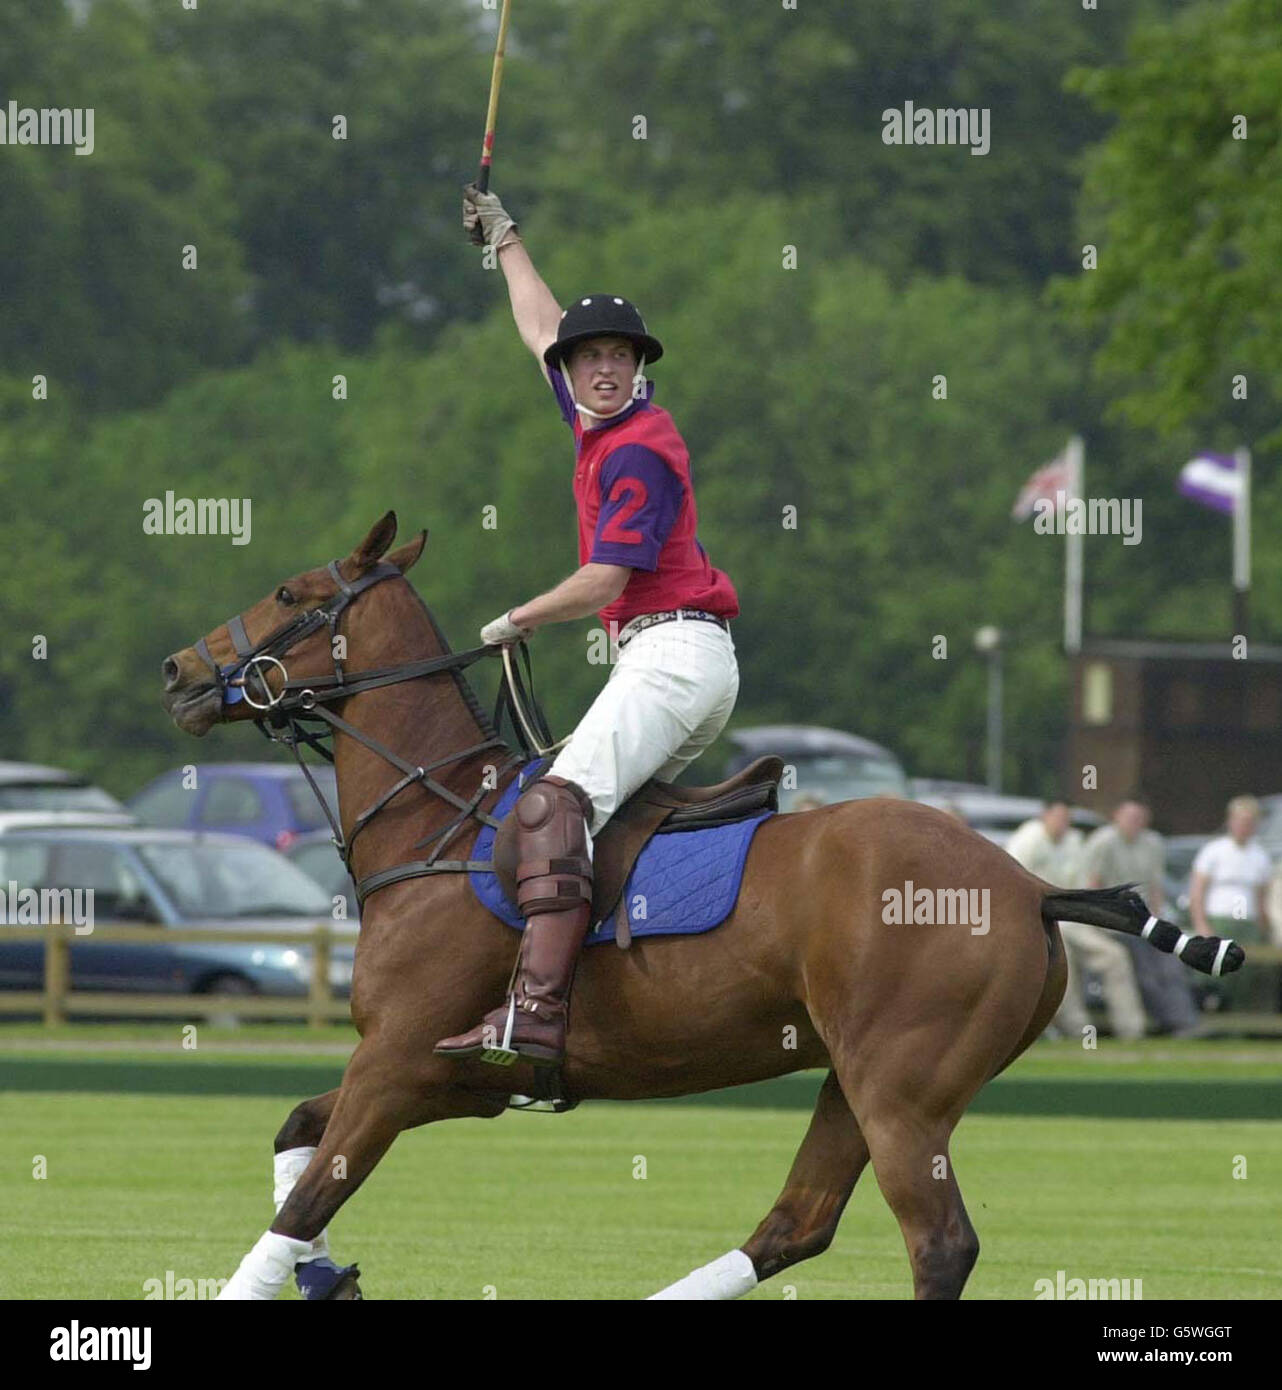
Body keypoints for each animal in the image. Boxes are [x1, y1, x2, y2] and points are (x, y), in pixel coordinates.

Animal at [157, 517, 1240, 1295]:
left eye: (290, 594)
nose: (178, 670)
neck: (438, 815)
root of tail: (1028, 884)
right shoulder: (441, 1077)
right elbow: (294, 1135)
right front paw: (327, 1277)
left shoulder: (394, 1065)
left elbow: (298, 1203)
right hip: (861, 1078)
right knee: (796, 1222)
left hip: (904, 1091)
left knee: (938, 1245)